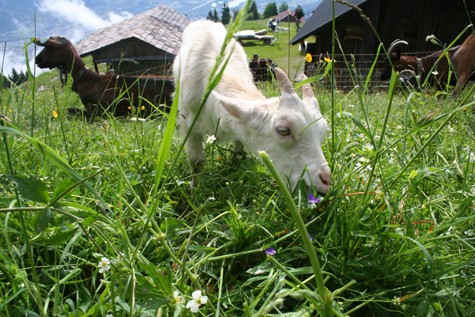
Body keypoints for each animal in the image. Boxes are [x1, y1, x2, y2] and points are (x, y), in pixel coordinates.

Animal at [173, 20, 332, 195]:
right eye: (283, 130)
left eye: (322, 132)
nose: (326, 181)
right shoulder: (189, 124)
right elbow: (196, 162)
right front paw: (195, 191)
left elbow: (238, 150)